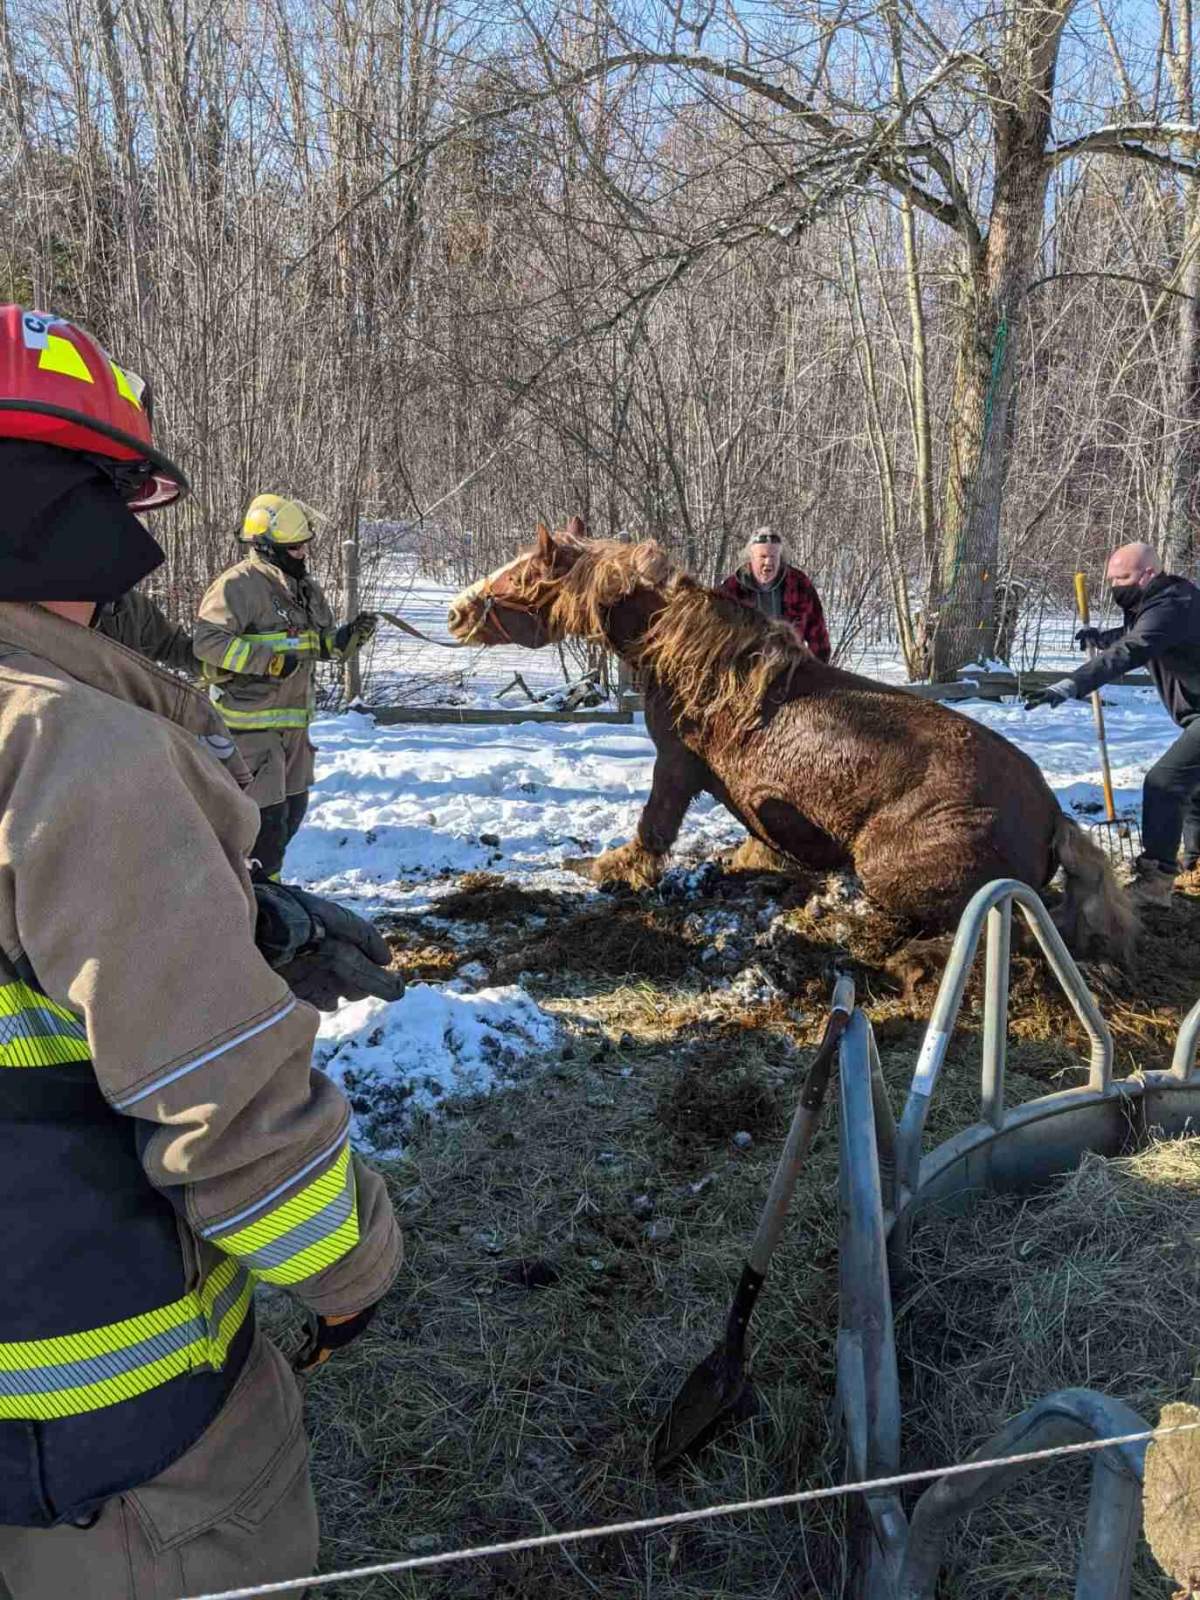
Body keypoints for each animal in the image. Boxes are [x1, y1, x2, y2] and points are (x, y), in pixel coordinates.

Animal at [447, 520, 1135, 965]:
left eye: (528, 572)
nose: (457, 612)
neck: (692, 661)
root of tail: (1053, 817)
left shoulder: (676, 766)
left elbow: (652, 829)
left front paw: (610, 871)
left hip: (891, 869)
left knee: (993, 931)